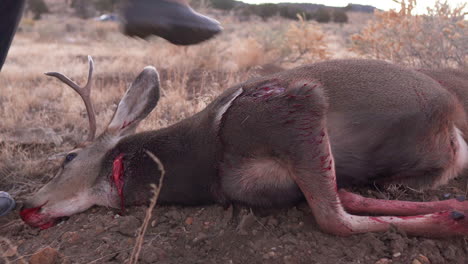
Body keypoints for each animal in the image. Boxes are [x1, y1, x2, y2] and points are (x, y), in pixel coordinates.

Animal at [20, 57, 468, 237]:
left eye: (68, 158)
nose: (27, 206)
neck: (203, 164)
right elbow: (347, 199)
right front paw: (455, 210)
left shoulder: (295, 105)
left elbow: (334, 219)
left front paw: (452, 220)